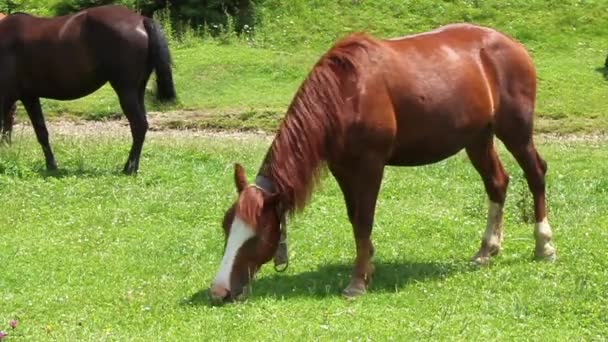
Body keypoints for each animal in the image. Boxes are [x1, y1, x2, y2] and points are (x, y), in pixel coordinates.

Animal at [0, 6, 176, 174]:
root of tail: (141, 20)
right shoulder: (29, 96)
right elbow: (40, 131)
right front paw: (51, 165)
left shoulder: (12, 96)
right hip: (137, 90)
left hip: (126, 90)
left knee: (138, 125)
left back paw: (129, 168)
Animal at [211, 23, 560, 302]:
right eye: (227, 227)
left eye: (256, 235)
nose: (218, 291)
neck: (345, 93)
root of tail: (512, 45)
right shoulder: (342, 168)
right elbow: (355, 220)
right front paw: (368, 265)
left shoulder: (370, 165)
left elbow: (364, 220)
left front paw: (357, 282)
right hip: (477, 137)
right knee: (497, 183)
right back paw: (487, 249)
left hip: (515, 130)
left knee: (535, 174)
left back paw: (544, 245)